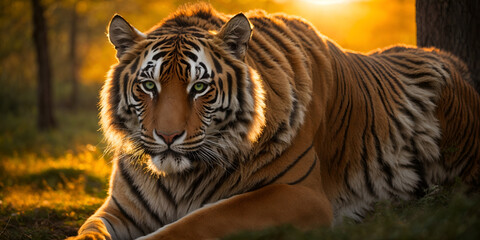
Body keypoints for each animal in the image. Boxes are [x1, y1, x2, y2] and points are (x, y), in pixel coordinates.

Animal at [68, 3, 480, 240]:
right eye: (148, 85)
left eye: (199, 87)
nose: (168, 136)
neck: (178, 178)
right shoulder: (118, 209)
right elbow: (89, 229)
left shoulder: (298, 195)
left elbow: (198, 221)